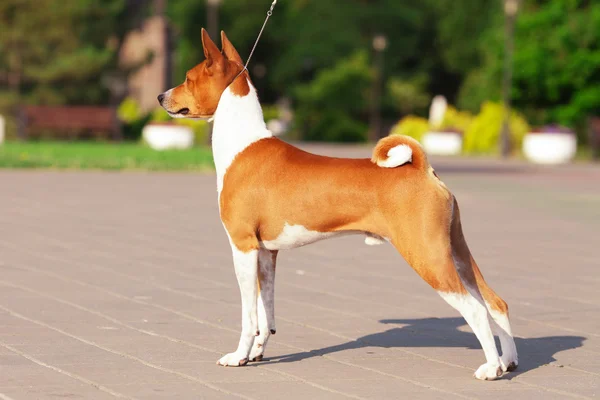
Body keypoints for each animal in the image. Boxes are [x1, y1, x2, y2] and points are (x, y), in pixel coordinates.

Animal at [157, 28, 516, 382]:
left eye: (187, 78)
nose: (161, 96)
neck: (241, 145)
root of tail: (422, 168)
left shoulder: (243, 246)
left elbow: (249, 316)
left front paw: (238, 357)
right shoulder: (267, 253)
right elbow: (265, 312)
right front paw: (257, 353)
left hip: (427, 255)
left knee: (476, 309)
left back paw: (491, 369)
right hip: (456, 251)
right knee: (496, 303)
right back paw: (508, 361)